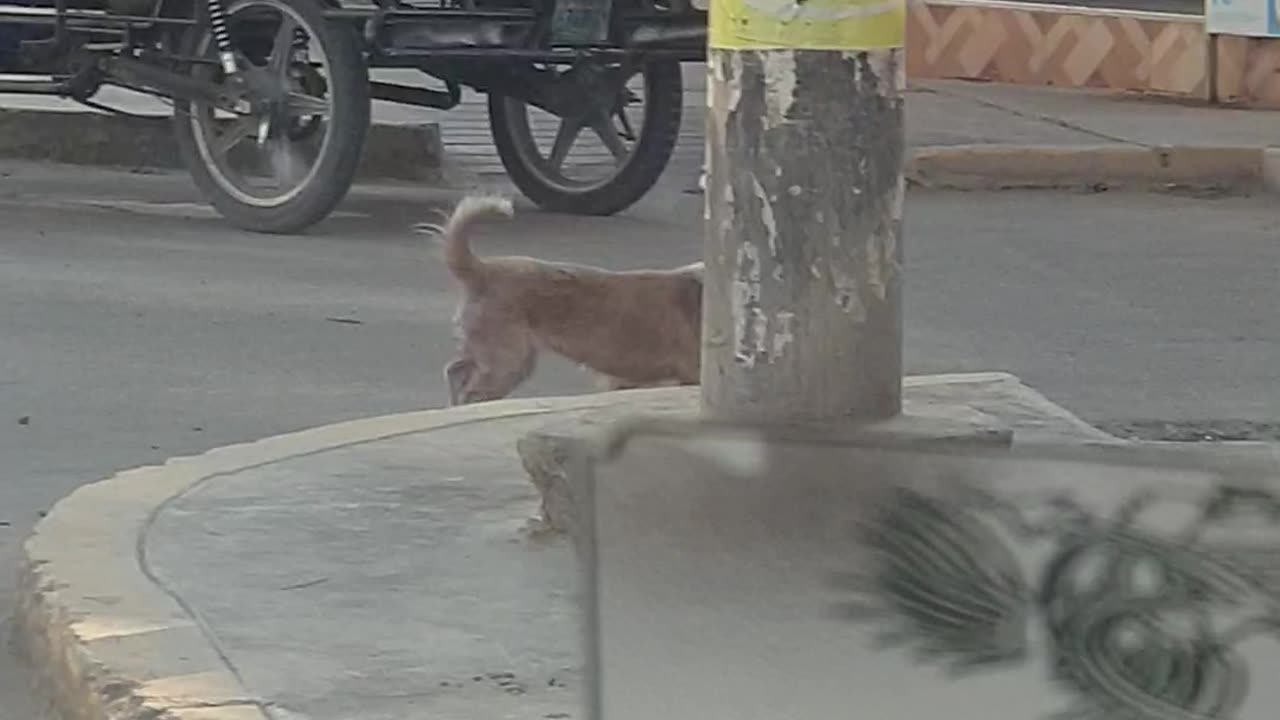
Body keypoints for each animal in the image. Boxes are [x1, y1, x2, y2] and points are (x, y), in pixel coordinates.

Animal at [417, 194, 701, 404]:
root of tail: (484, 269)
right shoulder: (693, 376)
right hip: (507, 362)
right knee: (472, 393)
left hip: (494, 351)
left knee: (455, 371)